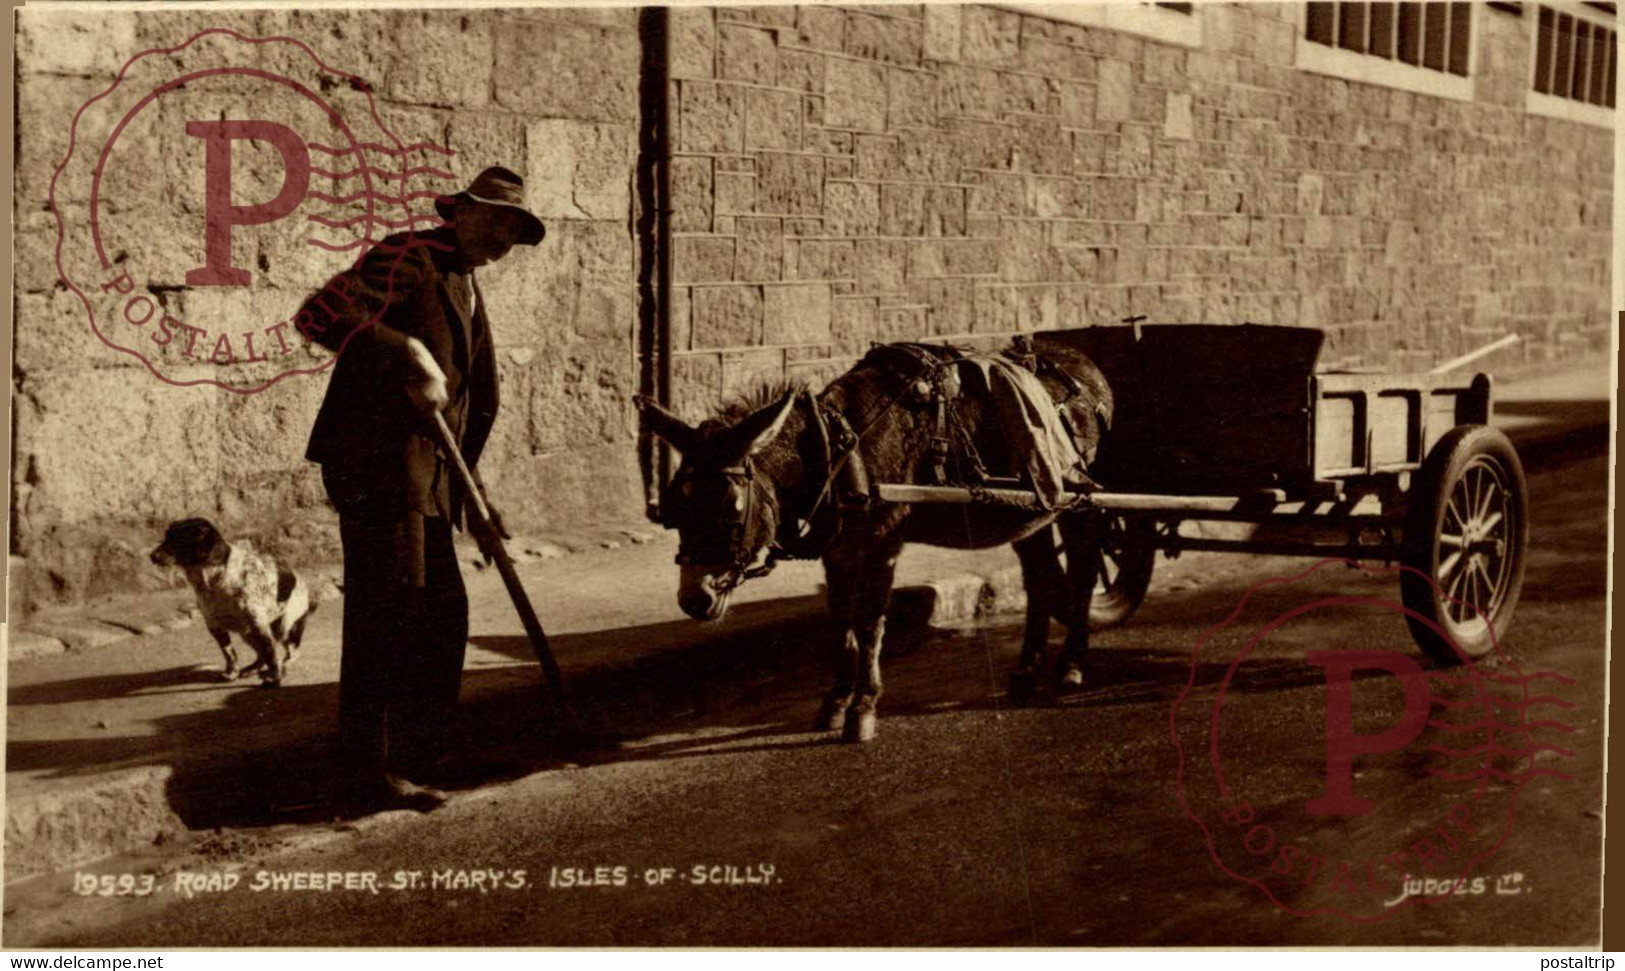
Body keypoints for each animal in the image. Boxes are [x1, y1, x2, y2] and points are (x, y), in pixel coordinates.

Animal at [151, 522, 312, 688]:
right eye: (166, 536)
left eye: (178, 538)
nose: (152, 556)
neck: (213, 580)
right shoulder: (215, 626)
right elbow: (229, 654)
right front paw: (232, 673)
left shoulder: (259, 625)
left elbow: (271, 656)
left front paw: (275, 679)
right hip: (247, 634)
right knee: (262, 656)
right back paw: (251, 669)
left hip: (284, 628)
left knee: (290, 655)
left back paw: (281, 668)